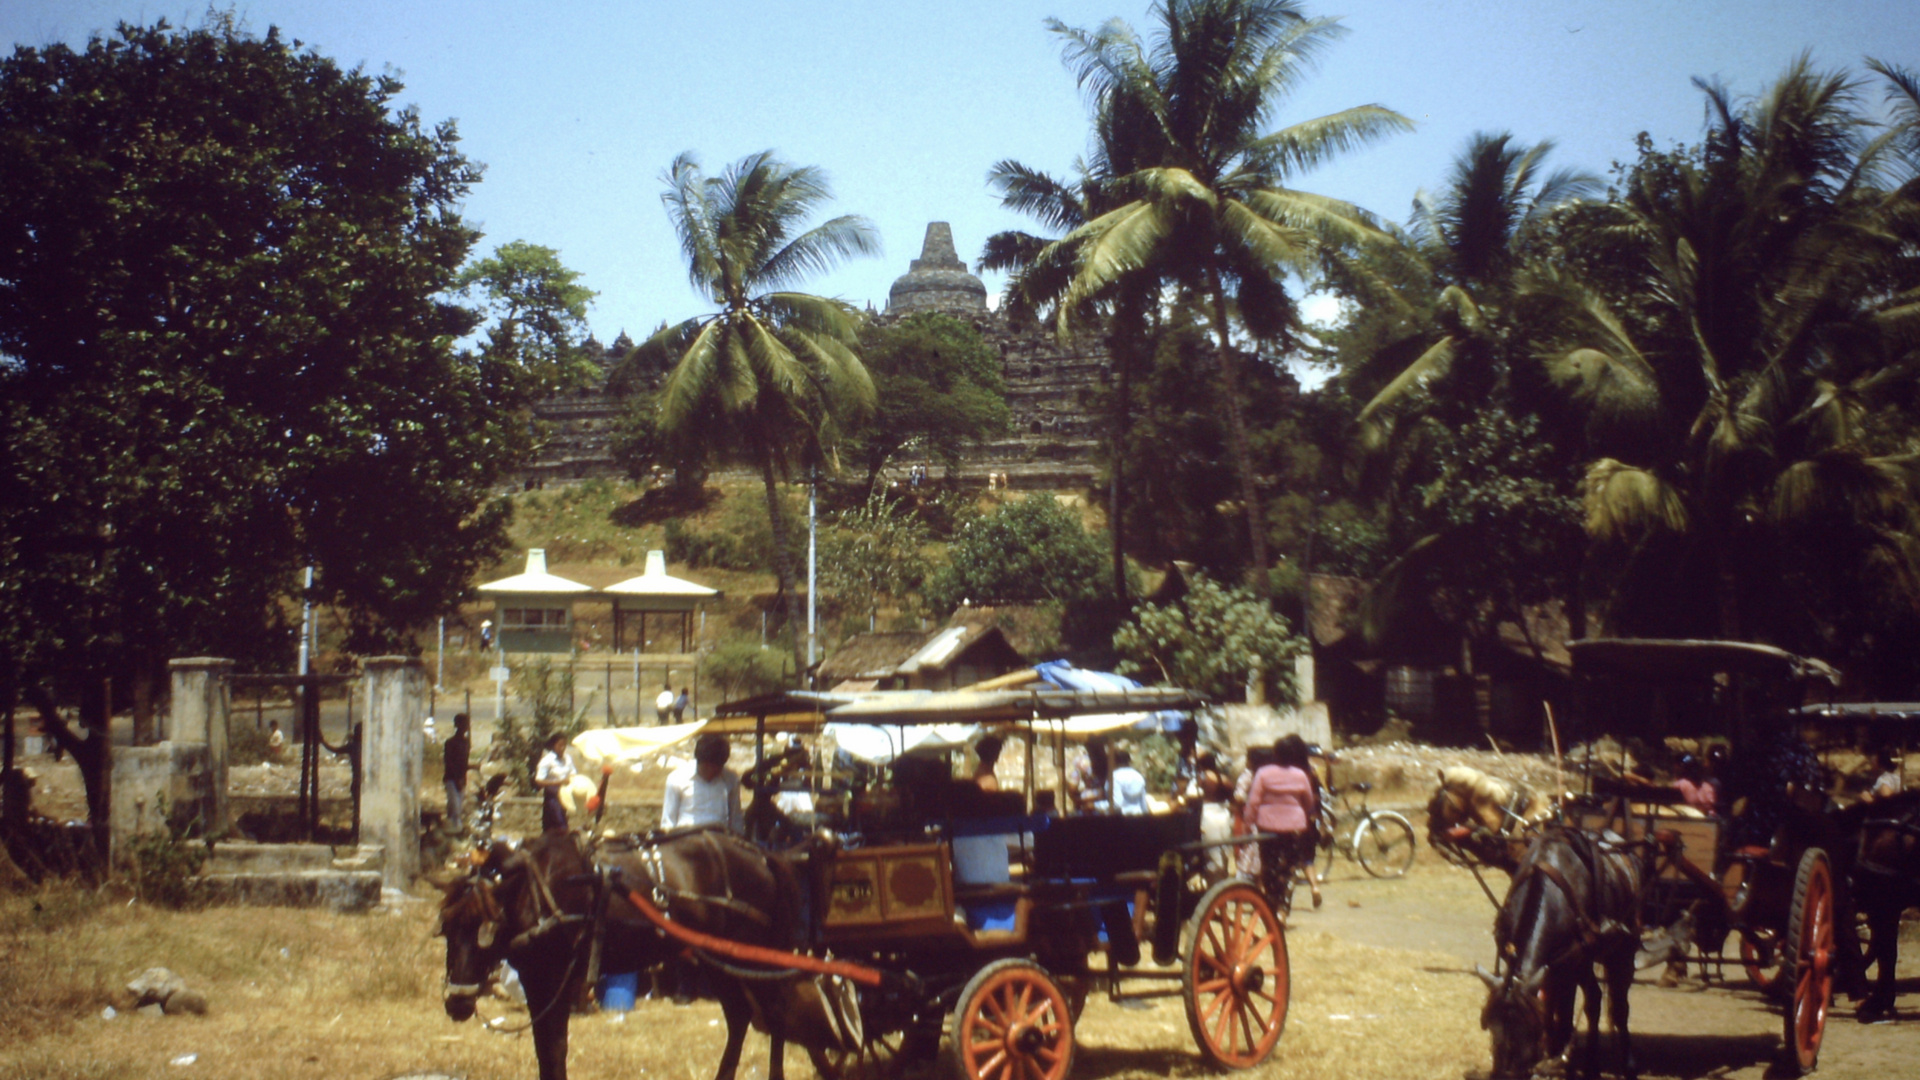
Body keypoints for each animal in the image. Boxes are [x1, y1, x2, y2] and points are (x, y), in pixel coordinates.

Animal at [441, 826, 848, 1068]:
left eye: (486, 932)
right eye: (446, 931)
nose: (456, 1004)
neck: (537, 889)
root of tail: (762, 853)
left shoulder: (555, 979)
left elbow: (554, 1048)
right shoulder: (535, 979)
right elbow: (546, 1049)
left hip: (751, 956)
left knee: (775, 1017)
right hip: (718, 960)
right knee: (740, 1018)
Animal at [1482, 826, 1651, 1068]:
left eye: (1526, 1029)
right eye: (1490, 1026)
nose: (1503, 1072)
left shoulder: (1571, 966)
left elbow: (1565, 1011)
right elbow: (1552, 1003)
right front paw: (1553, 1050)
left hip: (1623, 953)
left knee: (1618, 1007)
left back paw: (1625, 1061)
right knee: (1595, 999)